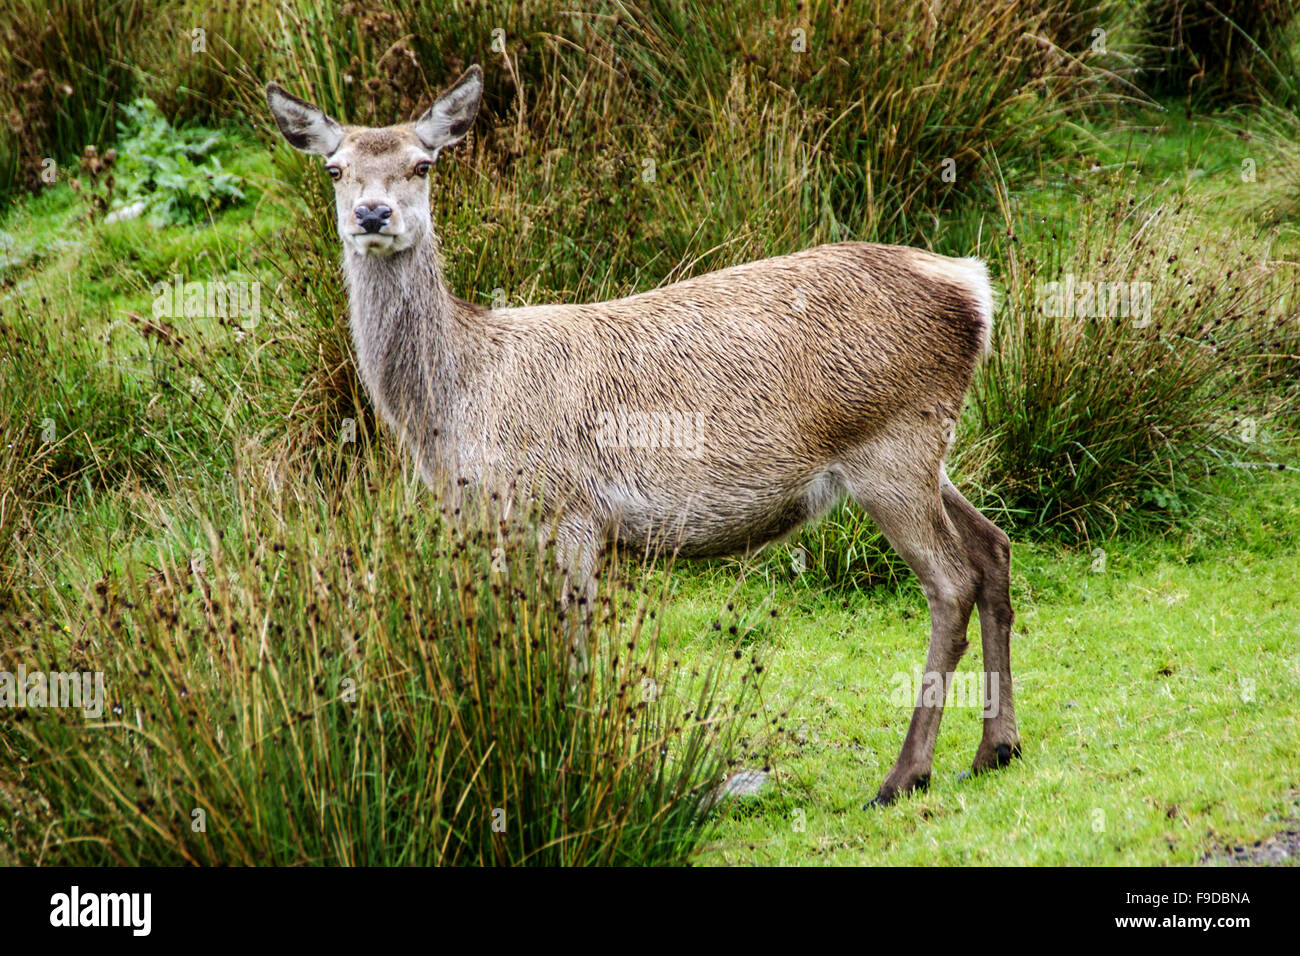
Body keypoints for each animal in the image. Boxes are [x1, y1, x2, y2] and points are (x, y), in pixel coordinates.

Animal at [265, 64, 1021, 807]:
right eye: (335, 168)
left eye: (422, 165)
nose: (372, 214)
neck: (457, 407)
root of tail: (975, 289)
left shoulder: (571, 512)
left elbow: (571, 650)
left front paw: (567, 761)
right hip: (925, 451)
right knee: (993, 546)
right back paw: (995, 750)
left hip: (890, 445)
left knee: (951, 581)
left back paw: (904, 775)